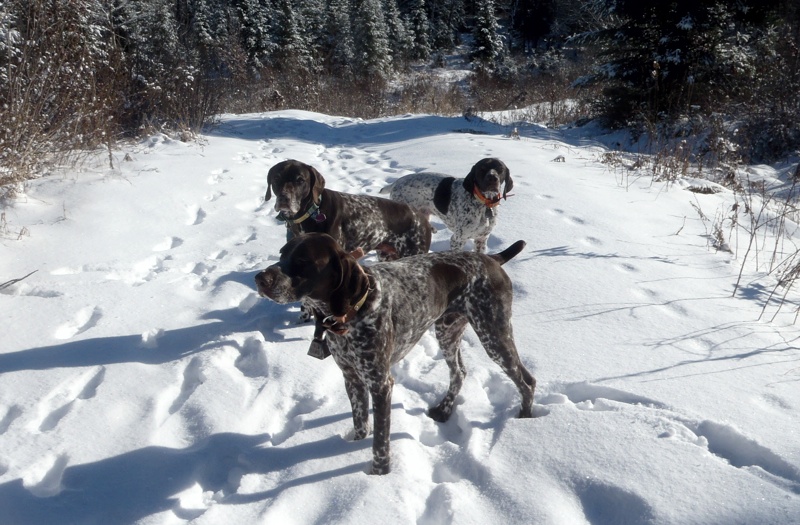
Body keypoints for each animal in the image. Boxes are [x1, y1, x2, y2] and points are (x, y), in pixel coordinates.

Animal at [253, 233, 536, 474]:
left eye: (304, 261)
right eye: (282, 253)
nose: (260, 279)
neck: (351, 315)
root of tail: (492, 259)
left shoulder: (380, 383)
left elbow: (380, 439)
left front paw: (379, 474)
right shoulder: (352, 377)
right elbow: (360, 423)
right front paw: (353, 446)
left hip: (493, 333)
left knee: (527, 380)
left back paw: (522, 421)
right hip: (447, 330)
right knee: (459, 372)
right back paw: (444, 410)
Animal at [384, 157, 516, 253]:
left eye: (500, 169)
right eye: (481, 169)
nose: (492, 178)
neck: (484, 205)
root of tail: (395, 183)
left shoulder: (481, 239)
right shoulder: (457, 240)